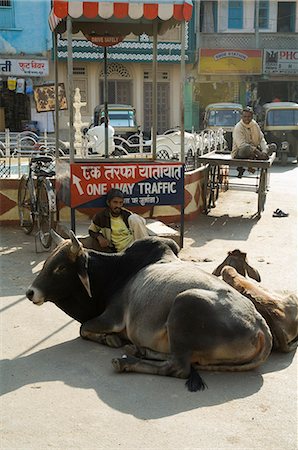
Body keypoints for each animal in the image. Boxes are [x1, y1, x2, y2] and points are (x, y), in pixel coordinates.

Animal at [25, 234, 272, 392]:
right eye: (46, 262)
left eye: (60, 267)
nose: (30, 292)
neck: (115, 273)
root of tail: (261, 327)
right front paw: (114, 340)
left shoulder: (112, 317)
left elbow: (83, 328)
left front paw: (110, 339)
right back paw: (139, 350)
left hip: (186, 301)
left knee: (178, 367)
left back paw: (126, 362)